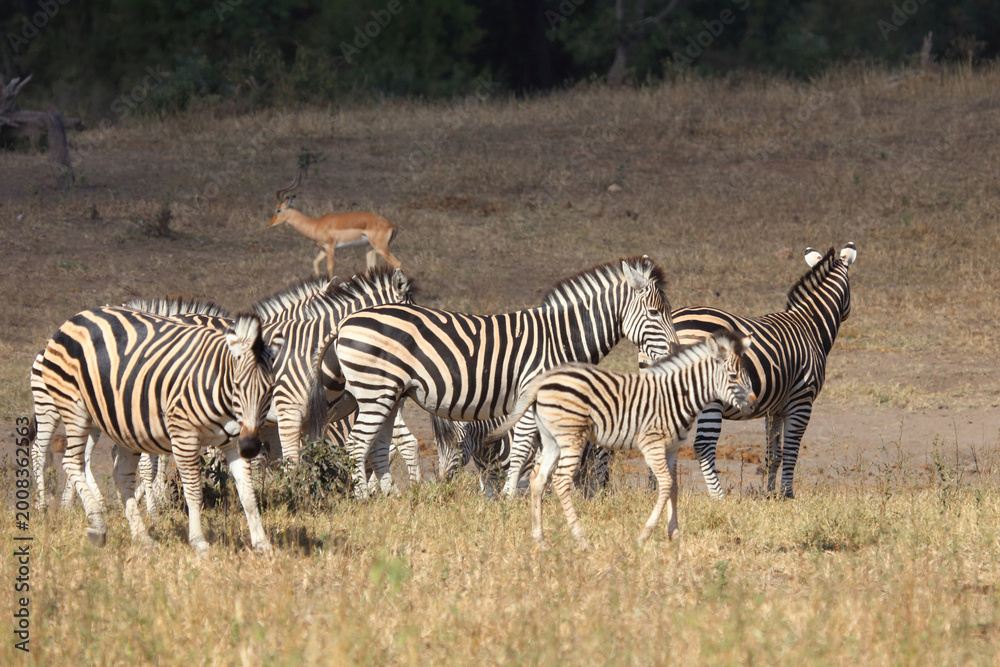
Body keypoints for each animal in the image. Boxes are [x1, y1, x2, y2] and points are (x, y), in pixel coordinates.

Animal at [30, 308, 280, 554]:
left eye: (270, 389)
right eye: (237, 385)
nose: (250, 447)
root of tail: (76, 317)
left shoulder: (233, 442)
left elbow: (248, 494)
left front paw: (263, 545)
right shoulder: (184, 435)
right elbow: (194, 492)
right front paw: (199, 543)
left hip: (123, 425)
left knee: (121, 476)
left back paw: (142, 538)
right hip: (72, 409)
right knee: (70, 461)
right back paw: (95, 523)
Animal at [332, 256, 679, 497]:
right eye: (655, 313)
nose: (677, 350)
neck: (560, 338)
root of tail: (348, 320)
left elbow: (540, 452)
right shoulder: (530, 395)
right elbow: (523, 448)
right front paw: (512, 497)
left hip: (389, 394)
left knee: (376, 444)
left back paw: (389, 499)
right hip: (375, 391)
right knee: (357, 444)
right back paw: (364, 499)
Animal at [488, 330, 756, 548]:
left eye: (746, 374)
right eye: (733, 376)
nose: (753, 404)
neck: (676, 395)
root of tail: (543, 382)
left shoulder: (672, 448)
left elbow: (674, 488)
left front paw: (675, 535)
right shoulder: (652, 445)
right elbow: (665, 484)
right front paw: (644, 535)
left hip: (552, 439)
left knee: (538, 479)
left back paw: (540, 539)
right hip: (573, 437)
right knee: (561, 481)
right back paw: (581, 539)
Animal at [657, 242, 857, 499]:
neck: (809, 326)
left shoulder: (775, 409)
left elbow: (774, 454)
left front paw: (771, 495)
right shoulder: (802, 400)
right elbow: (791, 451)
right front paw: (787, 493)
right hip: (707, 394)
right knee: (703, 445)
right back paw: (718, 498)